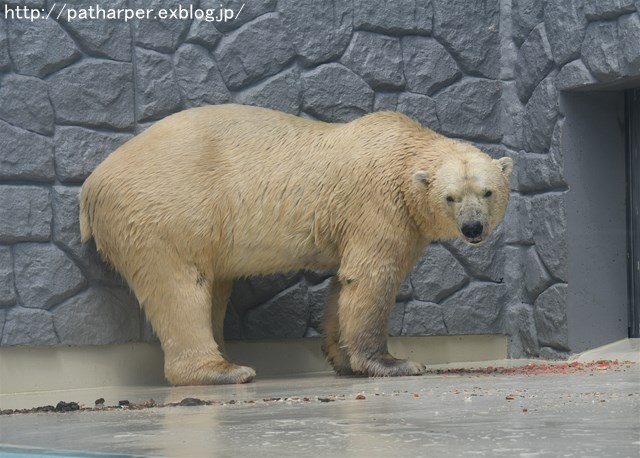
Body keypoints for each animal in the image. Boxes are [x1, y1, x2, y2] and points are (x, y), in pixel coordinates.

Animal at [80, 103, 512, 382]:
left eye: (487, 191)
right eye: (450, 197)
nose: (473, 228)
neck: (401, 150)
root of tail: (92, 183)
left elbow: (343, 283)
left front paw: (343, 359)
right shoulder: (379, 205)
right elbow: (371, 279)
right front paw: (394, 363)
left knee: (212, 287)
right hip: (168, 208)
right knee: (181, 287)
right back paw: (223, 371)